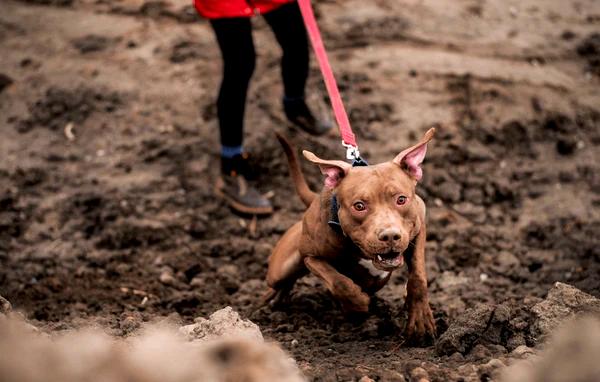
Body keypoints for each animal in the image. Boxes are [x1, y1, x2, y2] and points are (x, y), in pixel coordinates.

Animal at [266, 129, 436, 344]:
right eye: (359, 206)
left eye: (401, 199)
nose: (390, 236)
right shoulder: (310, 256)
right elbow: (339, 282)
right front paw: (358, 303)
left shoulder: (419, 223)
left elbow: (418, 276)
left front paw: (420, 317)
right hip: (280, 270)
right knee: (280, 282)